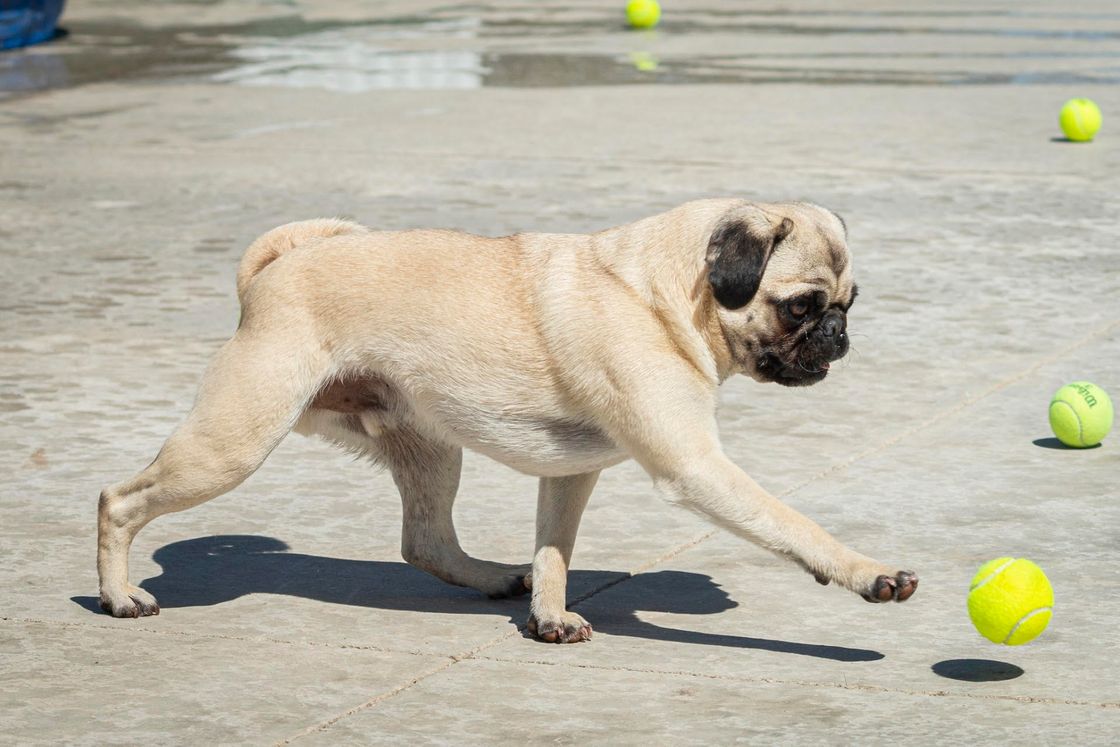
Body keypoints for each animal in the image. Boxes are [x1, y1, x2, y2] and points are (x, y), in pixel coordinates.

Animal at [98, 198, 918, 645]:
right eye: (801, 306)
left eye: (850, 302)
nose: (838, 334)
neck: (668, 293)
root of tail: (270, 273)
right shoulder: (694, 466)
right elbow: (792, 524)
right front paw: (866, 571)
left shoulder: (572, 472)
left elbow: (555, 550)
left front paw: (547, 615)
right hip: (234, 440)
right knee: (118, 500)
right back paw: (119, 596)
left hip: (427, 446)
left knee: (425, 540)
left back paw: (494, 578)